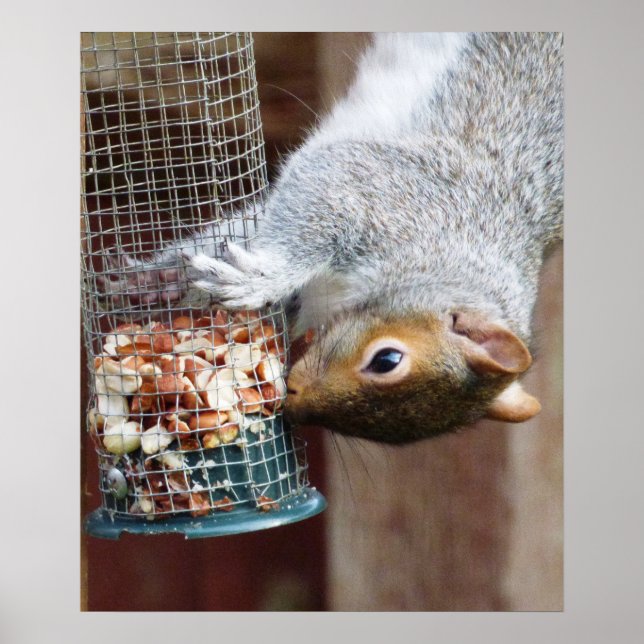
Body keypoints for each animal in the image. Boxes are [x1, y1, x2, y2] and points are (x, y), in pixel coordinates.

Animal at [99, 32, 563, 444]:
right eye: (387, 359)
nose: (294, 400)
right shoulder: (389, 192)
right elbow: (311, 203)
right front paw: (250, 279)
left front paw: (166, 281)